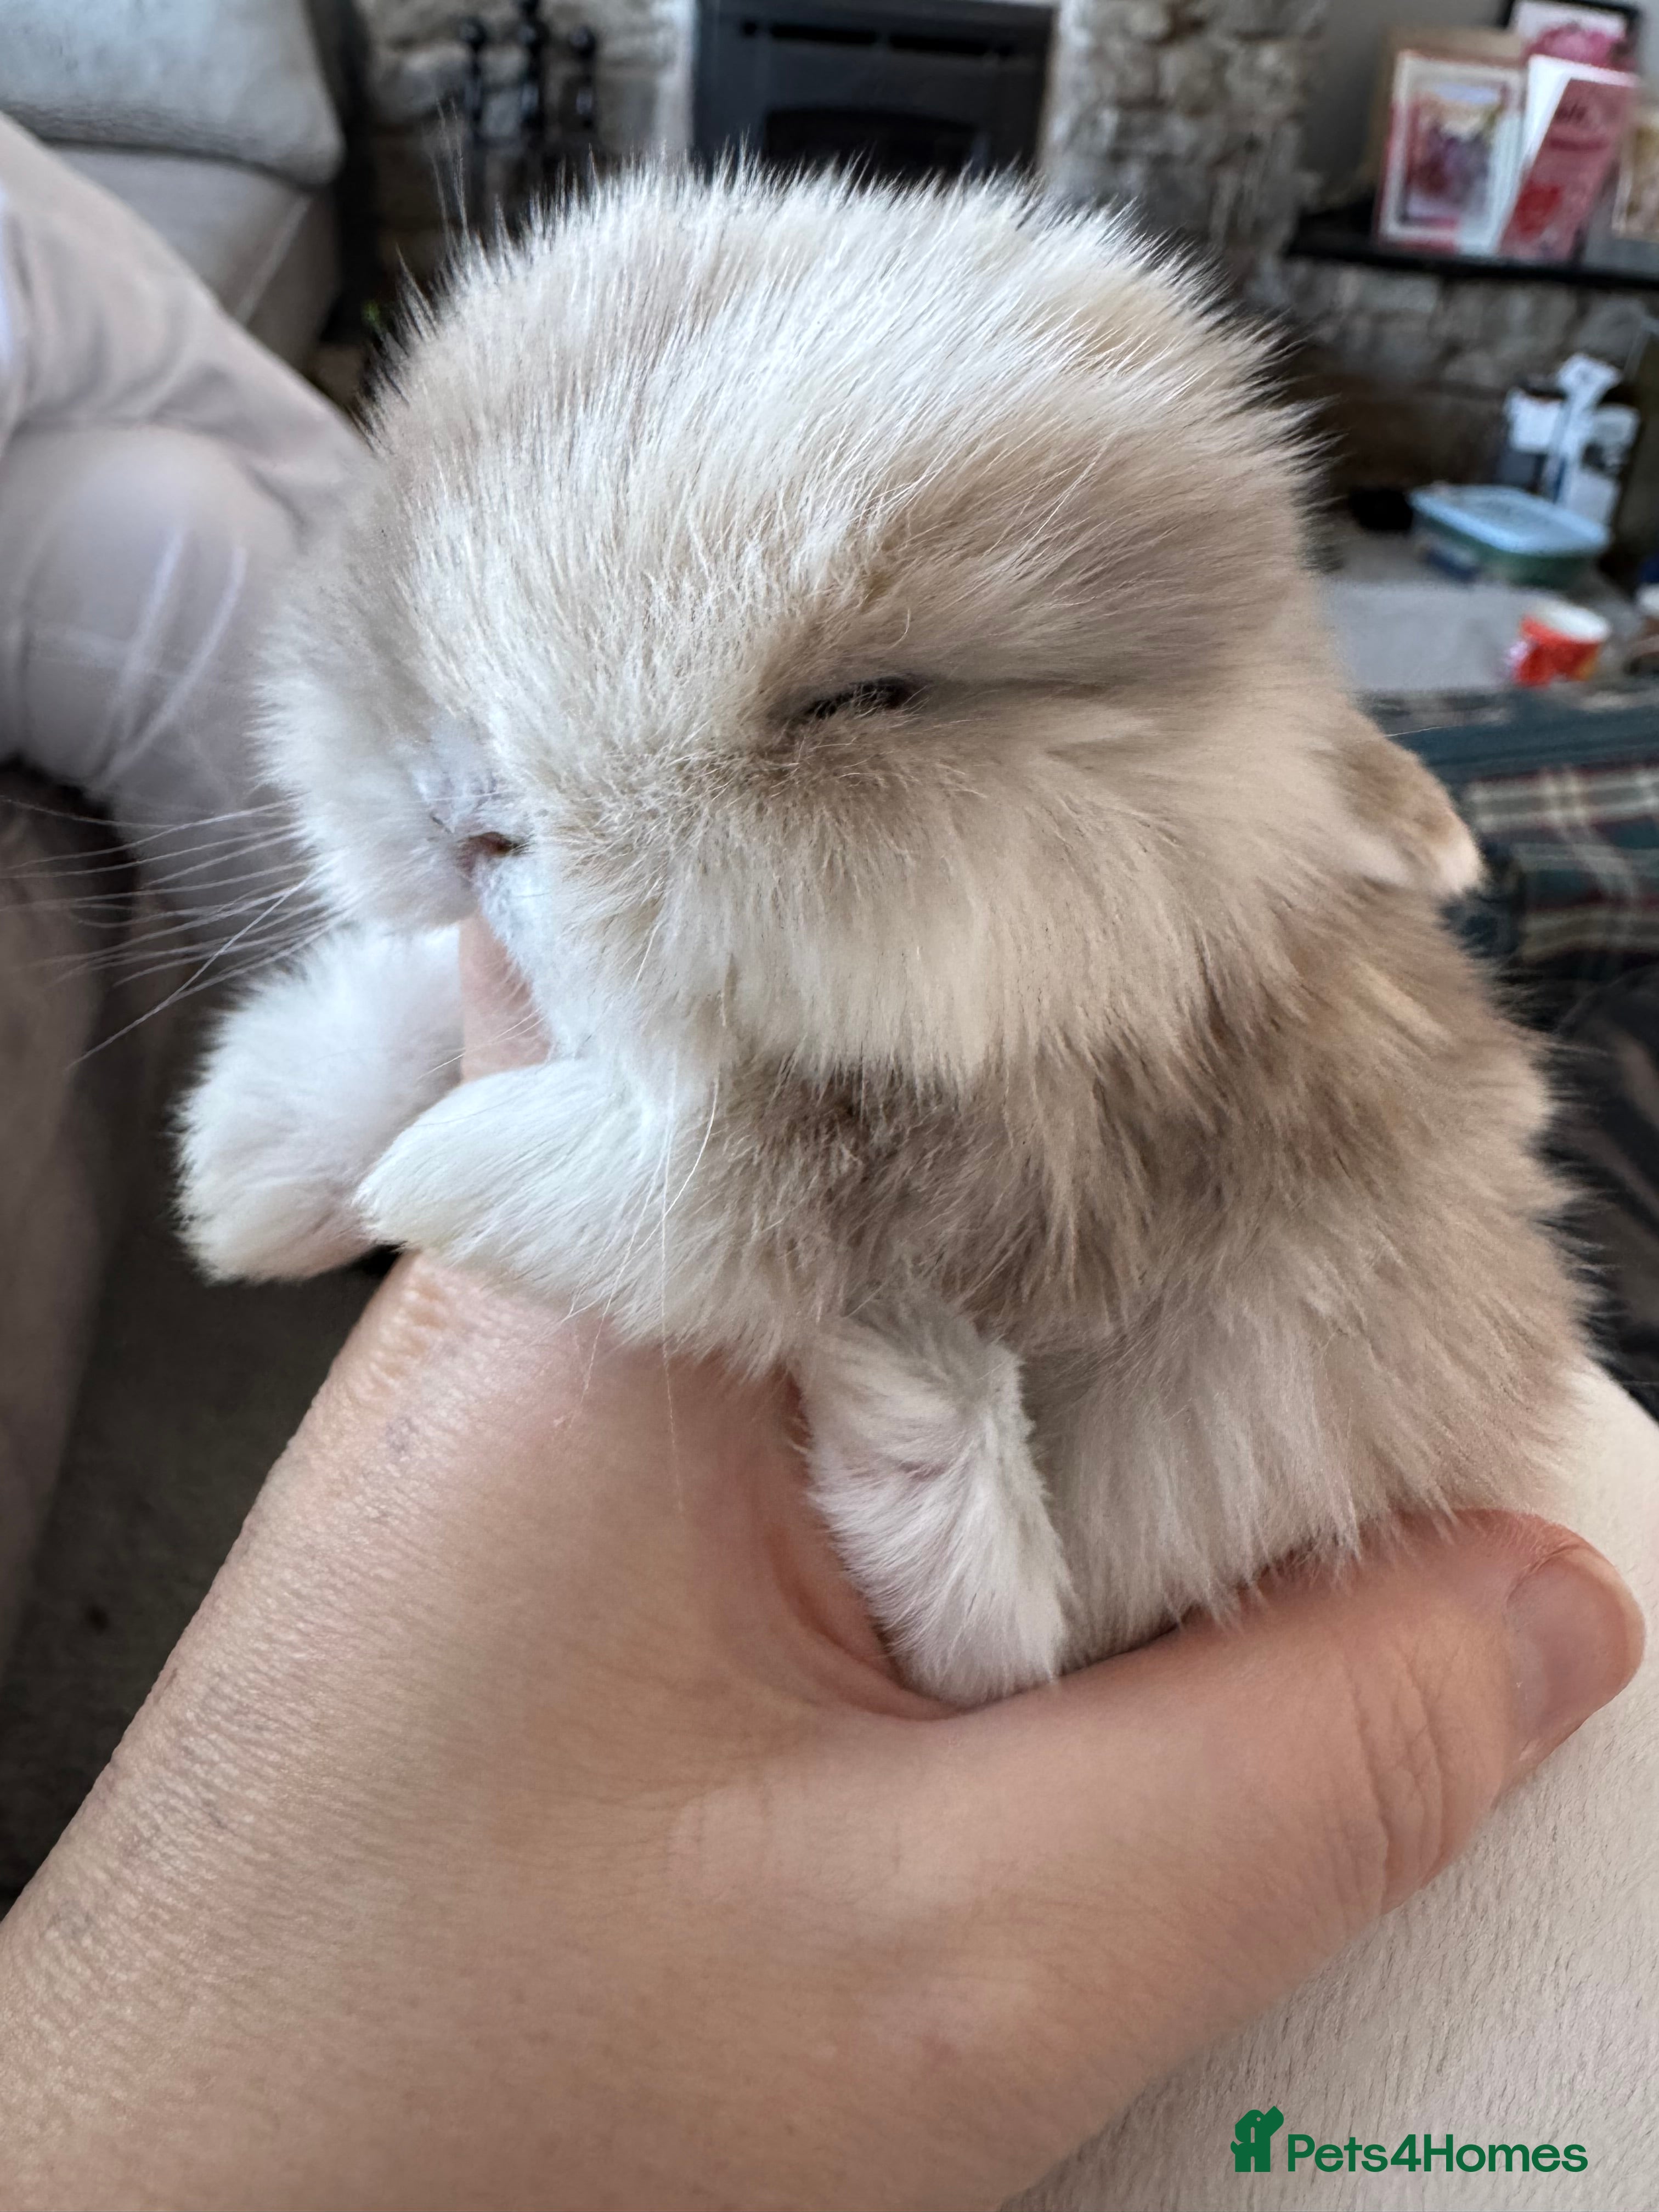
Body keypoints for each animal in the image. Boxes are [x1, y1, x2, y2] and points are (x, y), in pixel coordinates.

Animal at [178, 168, 1586, 1710]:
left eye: (867, 697)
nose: (461, 816)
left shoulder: (1074, 1163)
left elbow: (748, 1187)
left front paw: (444, 1173)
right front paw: (250, 1162)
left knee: (1001, 1629)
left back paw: (910, 1404)